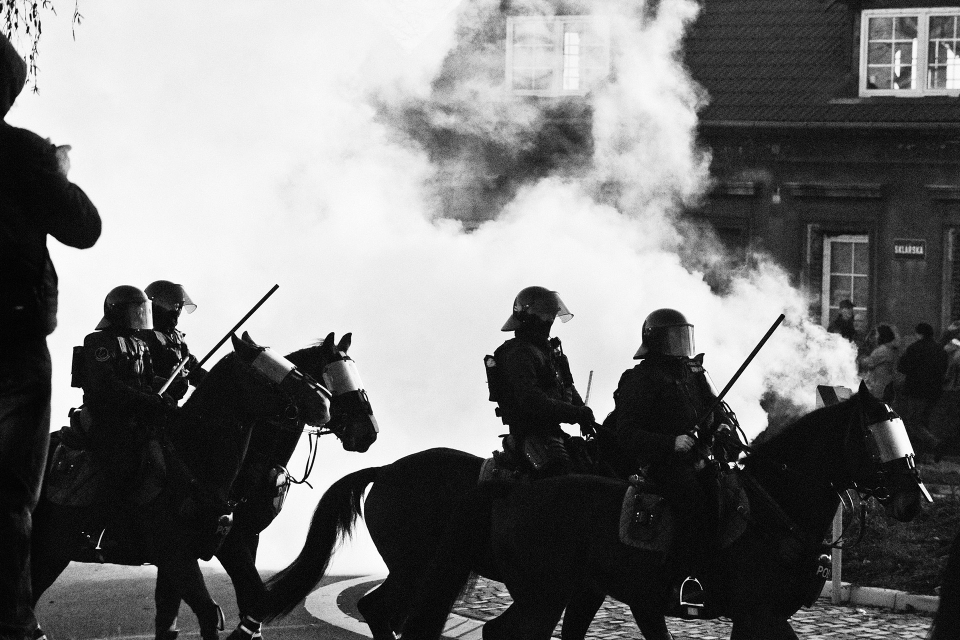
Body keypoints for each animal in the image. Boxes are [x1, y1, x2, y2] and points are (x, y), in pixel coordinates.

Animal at [30, 332, 336, 640]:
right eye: (265, 369)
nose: (324, 400)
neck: (192, 456)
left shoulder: (222, 545)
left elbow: (250, 599)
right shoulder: (176, 556)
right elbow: (209, 613)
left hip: (54, 552)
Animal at [151, 332, 378, 640]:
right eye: (334, 375)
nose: (368, 433)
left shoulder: (250, 534)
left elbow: (248, 599)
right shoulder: (227, 540)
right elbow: (251, 595)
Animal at [264, 382, 928, 636]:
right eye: (878, 434)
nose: (915, 500)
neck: (774, 505)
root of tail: (389, 470)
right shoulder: (751, 611)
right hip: (454, 574)